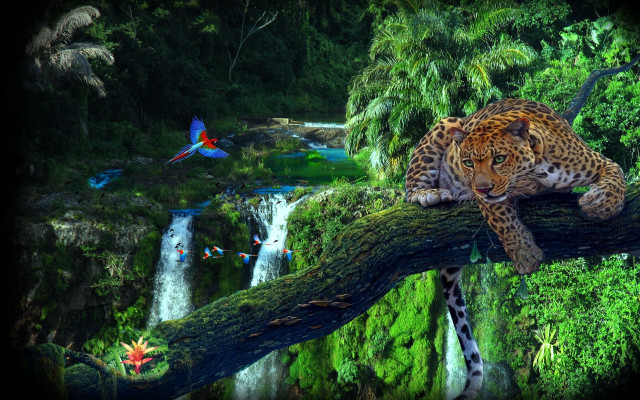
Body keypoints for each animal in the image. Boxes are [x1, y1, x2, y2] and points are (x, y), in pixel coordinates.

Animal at [405, 98, 626, 399]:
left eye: (499, 158)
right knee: (409, 190)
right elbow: (504, 220)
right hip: (445, 124)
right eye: (467, 162)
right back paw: (429, 194)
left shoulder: (597, 161)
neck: (539, 168)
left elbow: (617, 175)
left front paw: (601, 204)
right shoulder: (492, 200)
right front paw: (525, 254)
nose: (480, 189)